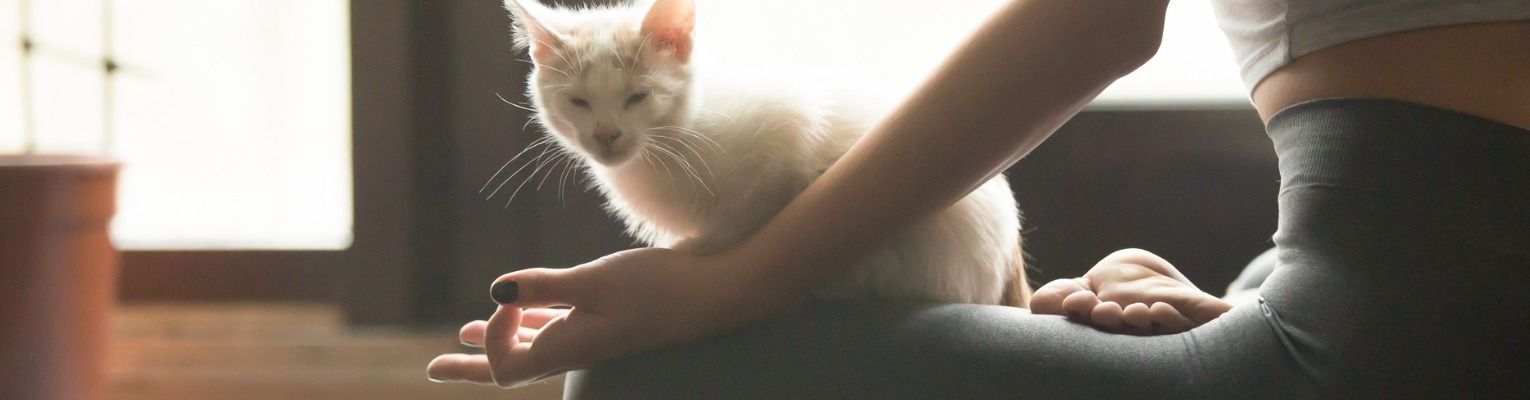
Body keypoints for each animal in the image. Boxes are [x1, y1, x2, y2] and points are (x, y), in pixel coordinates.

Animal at [501, 0, 1028, 304]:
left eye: (638, 97)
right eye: (579, 102)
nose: (606, 135)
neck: (675, 140)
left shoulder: (792, 125)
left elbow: (764, 201)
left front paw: (700, 248)